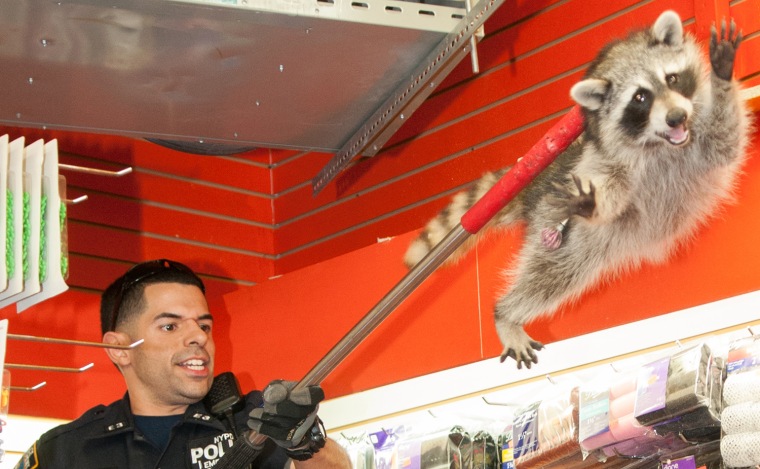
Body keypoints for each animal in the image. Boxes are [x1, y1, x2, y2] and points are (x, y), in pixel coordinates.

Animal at [404, 11, 748, 368]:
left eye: (672, 78)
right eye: (640, 98)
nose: (676, 117)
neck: (662, 142)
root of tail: (540, 182)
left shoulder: (699, 144)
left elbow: (726, 142)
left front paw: (722, 75)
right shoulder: (604, 164)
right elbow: (607, 193)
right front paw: (592, 203)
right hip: (562, 229)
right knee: (551, 274)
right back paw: (506, 313)